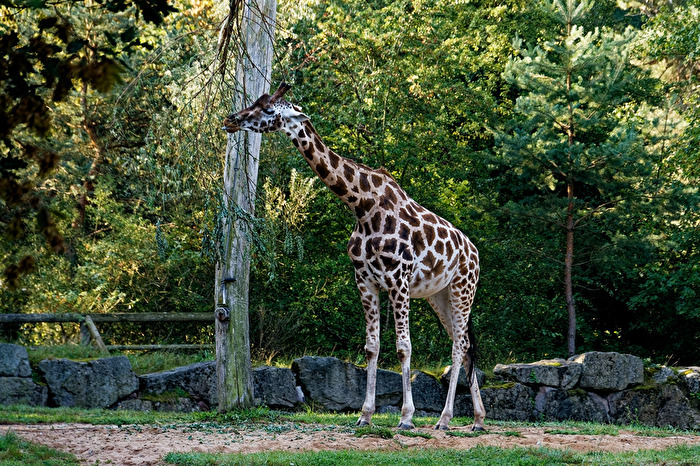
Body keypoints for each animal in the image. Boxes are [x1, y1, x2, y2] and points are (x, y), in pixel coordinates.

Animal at [223, 83, 486, 431]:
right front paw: (365, 414)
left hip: (462, 290)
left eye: (268, 110)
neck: (362, 206)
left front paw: (406, 417)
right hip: (438, 296)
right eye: (255, 102)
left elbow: (403, 348)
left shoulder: (398, 282)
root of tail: (475, 252)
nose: (231, 120)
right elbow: (372, 347)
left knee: (458, 348)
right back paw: (478, 420)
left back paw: (444, 419)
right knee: (465, 345)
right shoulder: (365, 281)